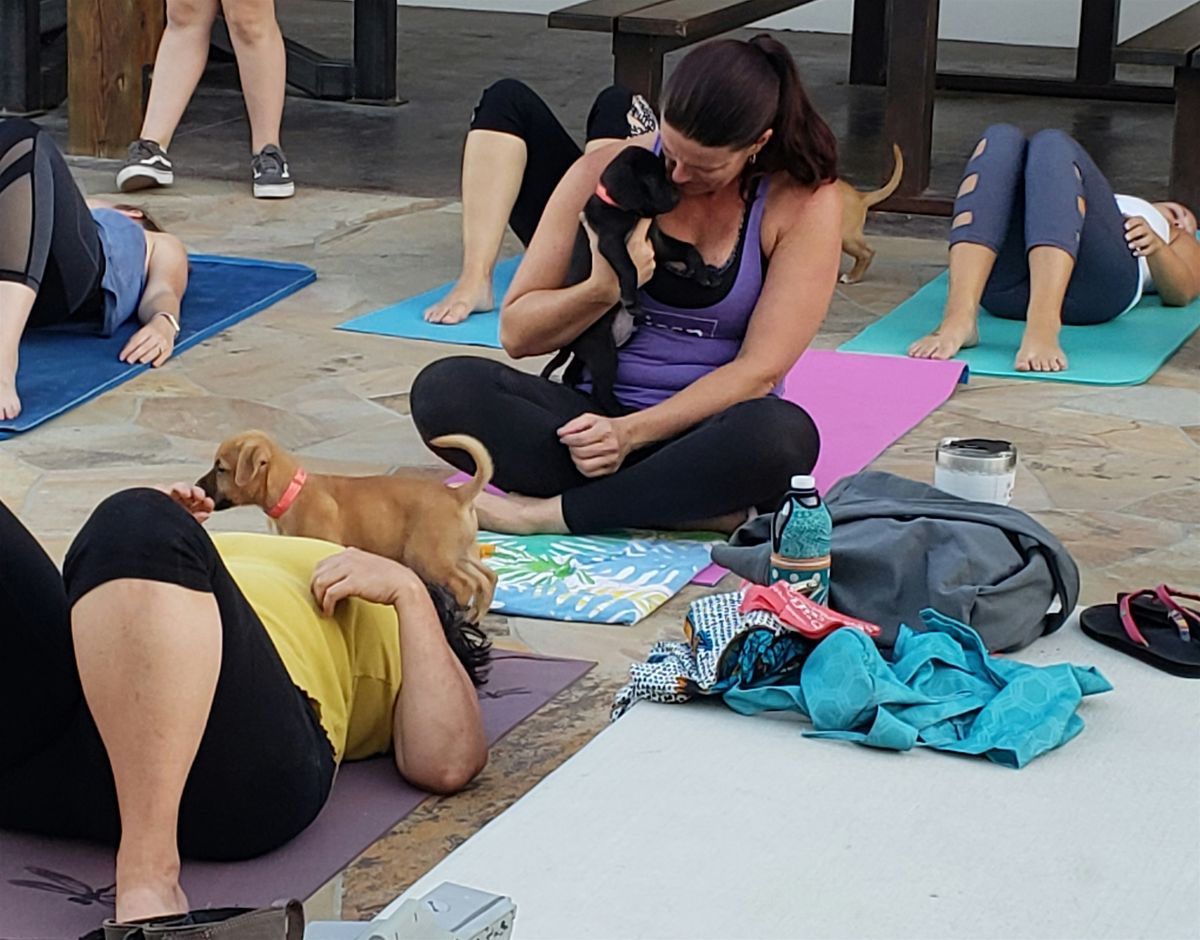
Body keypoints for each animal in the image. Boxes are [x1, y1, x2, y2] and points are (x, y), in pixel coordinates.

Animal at [199, 434, 499, 624]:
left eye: (221, 468)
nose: (198, 486)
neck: (291, 491)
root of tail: (458, 494)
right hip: (458, 553)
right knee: (486, 577)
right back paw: (475, 616)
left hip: (427, 556)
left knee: (464, 584)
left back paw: (458, 616)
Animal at [542, 145, 681, 412]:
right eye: (652, 179)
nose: (678, 195)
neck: (620, 208)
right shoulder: (611, 242)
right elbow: (629, 268)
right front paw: (630, 299)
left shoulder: (656, 239)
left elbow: (686, 249)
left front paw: (704, 272)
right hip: (602, 350)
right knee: (601, 391)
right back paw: (623, 411)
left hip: (594, 351)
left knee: (575, 373)